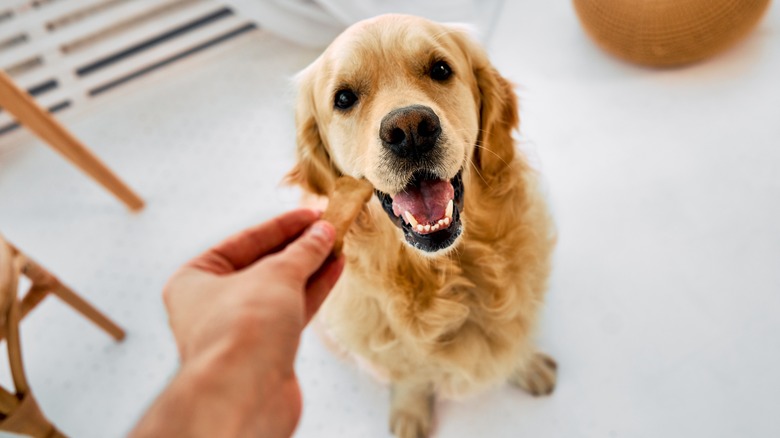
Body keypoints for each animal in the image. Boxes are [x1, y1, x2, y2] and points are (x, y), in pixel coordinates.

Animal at [290, 13, 556, 438]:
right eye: (344, 99)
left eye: (440, 69)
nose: (411, 129)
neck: (445, 276)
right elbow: (410, 374)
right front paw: (410, 411)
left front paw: (526, 365)